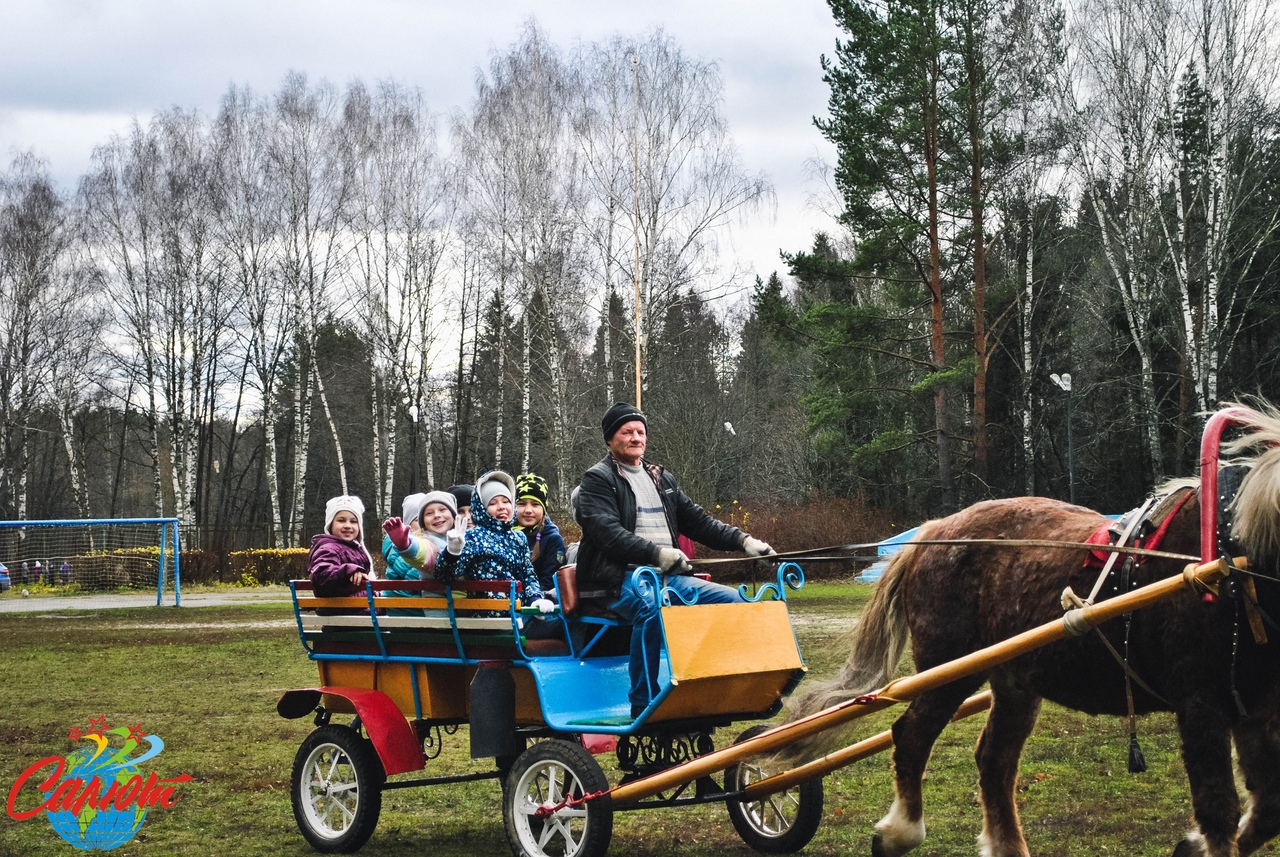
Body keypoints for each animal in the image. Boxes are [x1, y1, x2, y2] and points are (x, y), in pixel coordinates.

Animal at [783, 404, 1280, 857]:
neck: (1233, 557)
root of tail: (935, 530)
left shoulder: (1256, 710)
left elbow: (1267, 808)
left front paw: (1192, 844)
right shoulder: (1200, 704)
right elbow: (1220, 810)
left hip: (1014, 682)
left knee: (993, 760)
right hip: (949, 670)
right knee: (911, 736)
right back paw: (899, 832)